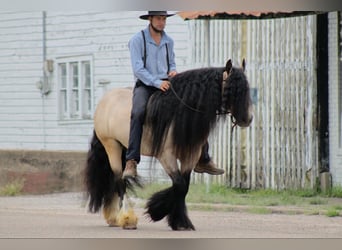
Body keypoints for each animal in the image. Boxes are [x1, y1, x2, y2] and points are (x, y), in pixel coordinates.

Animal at [84, 58, 252, 230]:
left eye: (247, 89)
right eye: (231, 89)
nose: (248, 119)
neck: (177, 113)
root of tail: (105, 101)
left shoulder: (190, 156)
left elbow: (184, 186)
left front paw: (178, 220)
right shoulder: (166, 156)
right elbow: (179, 184)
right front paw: (157, 211)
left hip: (123, 147)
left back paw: (113, 217)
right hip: (112, 146)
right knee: (119, 181)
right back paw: (127, 218)